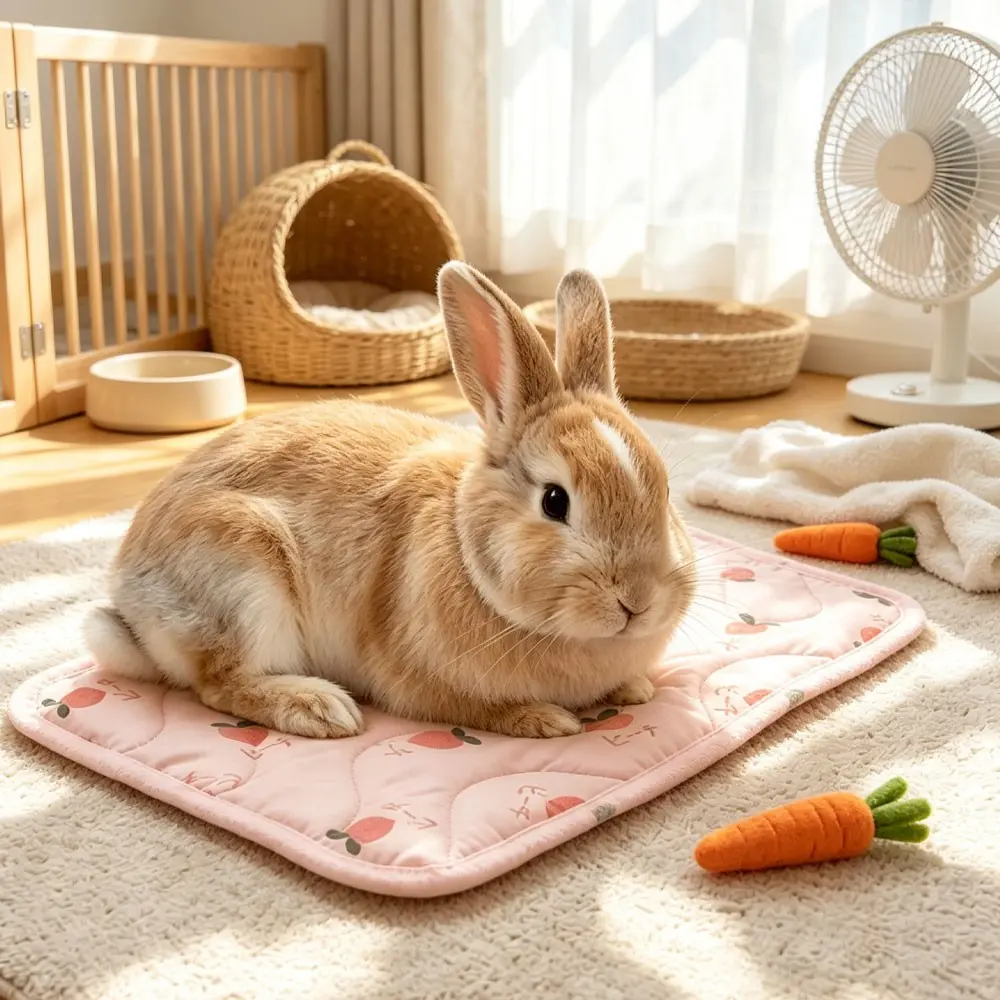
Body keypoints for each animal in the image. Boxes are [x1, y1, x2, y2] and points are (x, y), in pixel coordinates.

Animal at [84, 262, 697, 739]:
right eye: (553, 501)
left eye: (666, 490)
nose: (637, 601)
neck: (466, 550)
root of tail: (127, 594)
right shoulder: (428, 684)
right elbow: (478, 709)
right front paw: (543, 720)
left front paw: (636, 689)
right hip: (243, 584)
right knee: (220, 683)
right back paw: (319, 708)